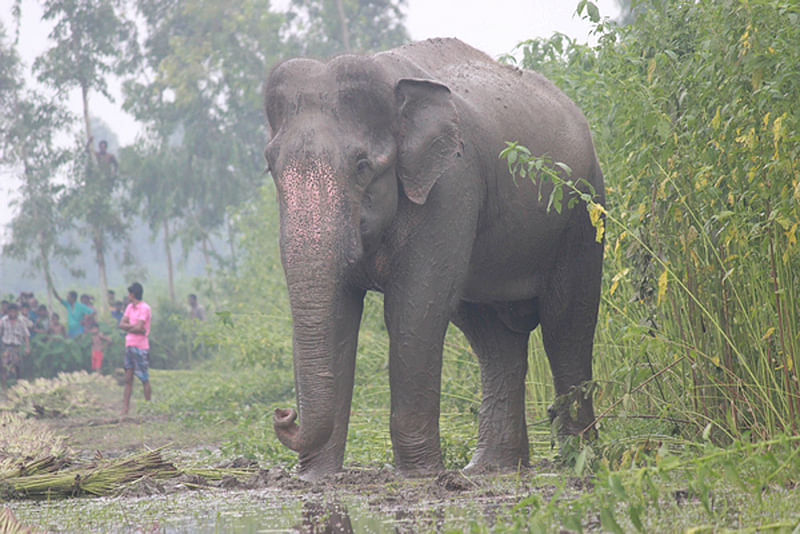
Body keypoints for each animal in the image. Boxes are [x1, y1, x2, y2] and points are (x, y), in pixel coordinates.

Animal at [266, 36, 604, 482]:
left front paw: (419, 475)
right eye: (270, 166)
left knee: (566, 324)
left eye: (362, 166)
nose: (283, 414)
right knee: (493, 338)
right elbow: (340, 311)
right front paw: (316, 479)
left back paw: (578, 461)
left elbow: (414, 308)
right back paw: (491, 467)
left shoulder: (450, 186)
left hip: (582, 213)